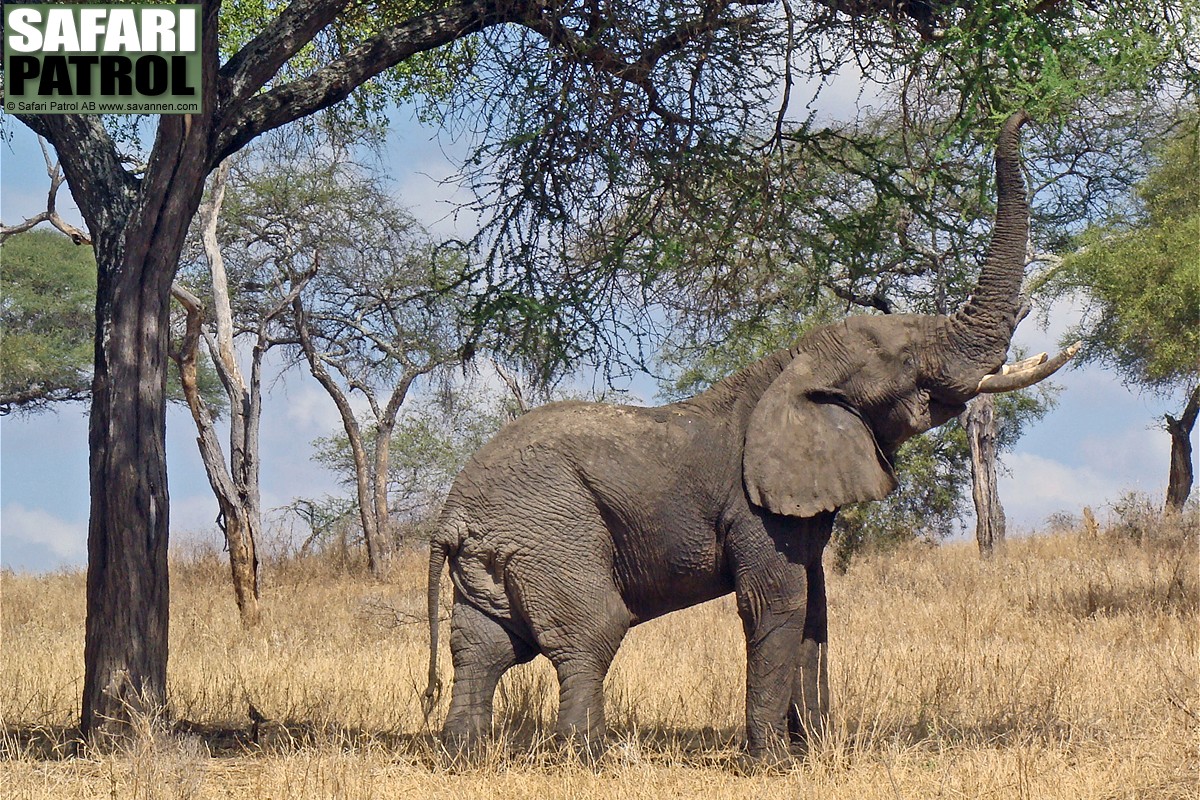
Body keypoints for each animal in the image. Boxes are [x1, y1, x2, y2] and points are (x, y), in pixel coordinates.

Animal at [424, 110, 1080, 758]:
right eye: (904, 359)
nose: (1018, 110)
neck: (790, 367)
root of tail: (451, 514)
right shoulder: (755, 508)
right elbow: (777, 602)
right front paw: (772, 761)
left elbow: (815, 608)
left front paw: (814, 752)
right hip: (551, 526)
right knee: (590, 631)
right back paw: (585, 756)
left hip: (500, 549)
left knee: (482, 645)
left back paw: (464, 754)